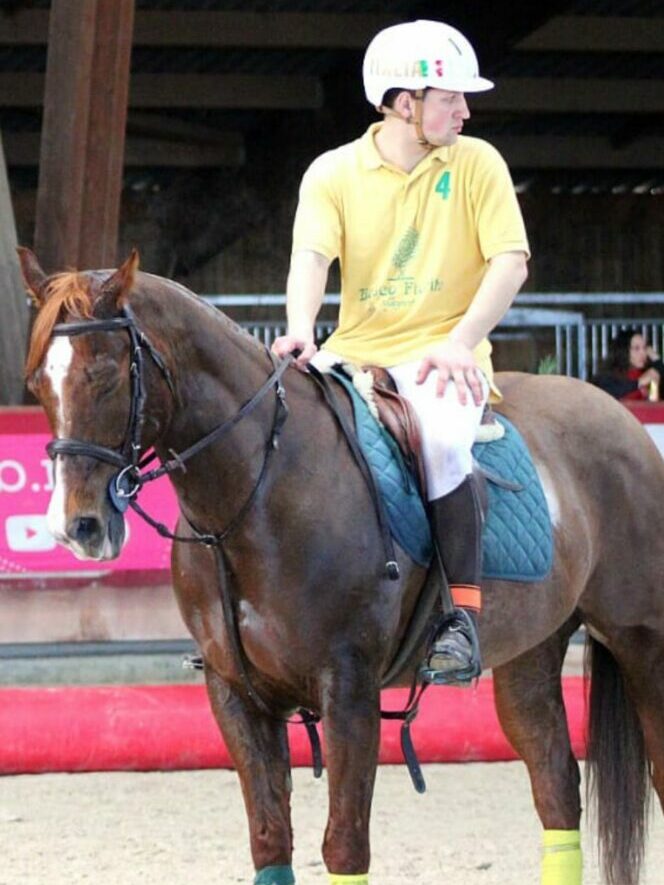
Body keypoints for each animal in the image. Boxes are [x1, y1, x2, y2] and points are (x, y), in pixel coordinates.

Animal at [18, 247, 664, 885]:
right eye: (39, 383)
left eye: (104, 375)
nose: (75, 526)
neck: (256, 494)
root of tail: (621, 418)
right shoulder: (233, 693)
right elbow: (269, 840)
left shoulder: (348, 689)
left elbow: (345, 846)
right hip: (530, 653)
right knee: (556, 785)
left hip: (641, 642)